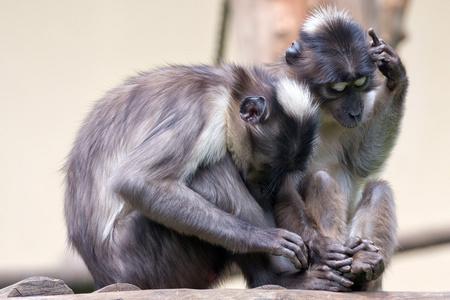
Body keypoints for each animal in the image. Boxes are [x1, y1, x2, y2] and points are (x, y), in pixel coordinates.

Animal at [63, 62, 356, 290]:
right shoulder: (198, 113)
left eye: (281, 172)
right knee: (211, 169)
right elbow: (135, 180)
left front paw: (322, 245)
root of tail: (104, 276)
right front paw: (263, 238)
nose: (265, 189)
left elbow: (284, 197)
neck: (226, 91)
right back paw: (270, 278)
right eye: (266, 167)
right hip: (139, 259)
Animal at [270, 5, 408, 290]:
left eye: (360, 83)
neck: (320, 110)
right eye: (339, 89)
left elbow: (363, 160)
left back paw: (364, 266)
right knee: (320, 180)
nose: (355, 112)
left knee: (378, 188)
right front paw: (322, 246)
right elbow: (280, 187)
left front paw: (394, 73)